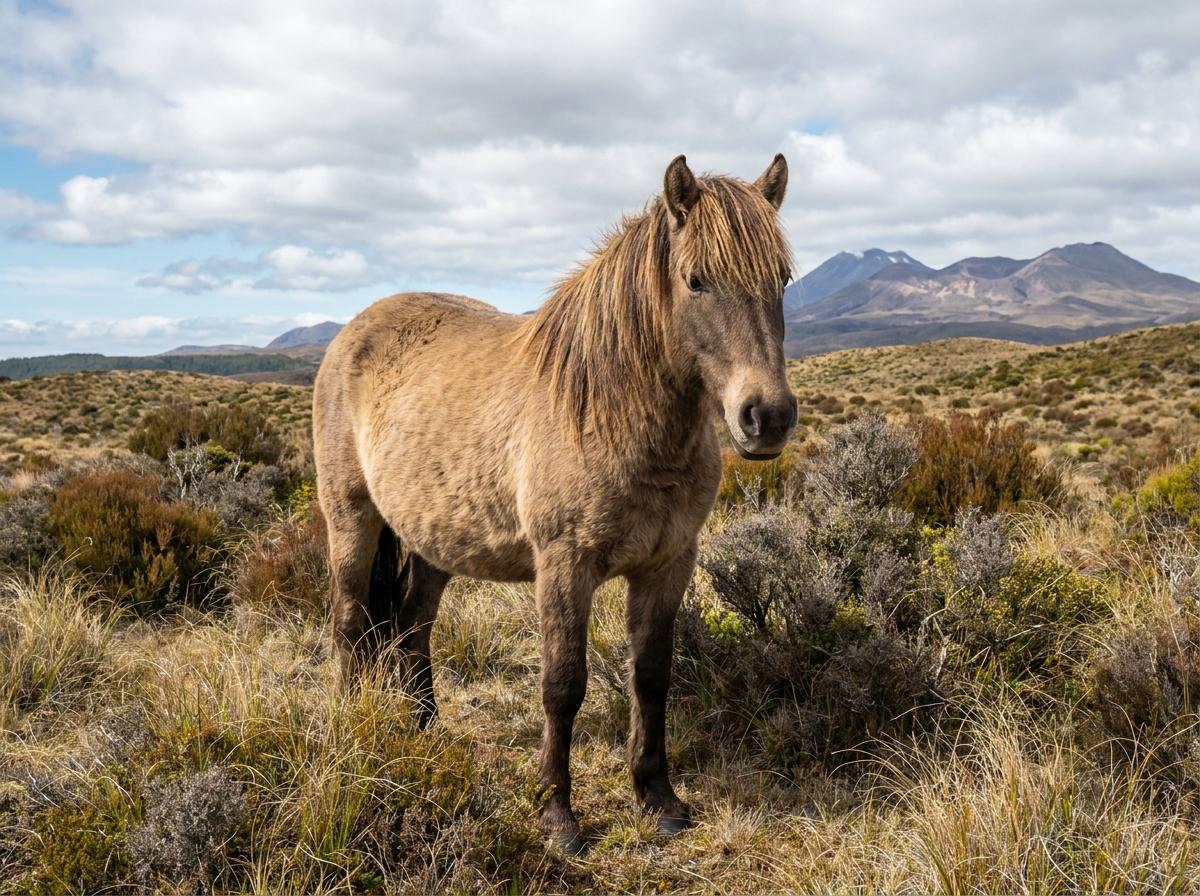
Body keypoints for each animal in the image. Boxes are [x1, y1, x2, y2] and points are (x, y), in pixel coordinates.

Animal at [313, 154, 798, 853]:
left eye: (782, 280)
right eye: (696, 281)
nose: (768, 418)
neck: (616, 415)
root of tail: (352, 332)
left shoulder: (668, 564)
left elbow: (652, 677)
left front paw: (659, 799)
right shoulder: (564, 567)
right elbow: (562, 685)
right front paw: (557, 813)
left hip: (434, 541)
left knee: (411, 624)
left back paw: (425, 733)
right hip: (352, 521)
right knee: (351, 624)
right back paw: (356, 732)